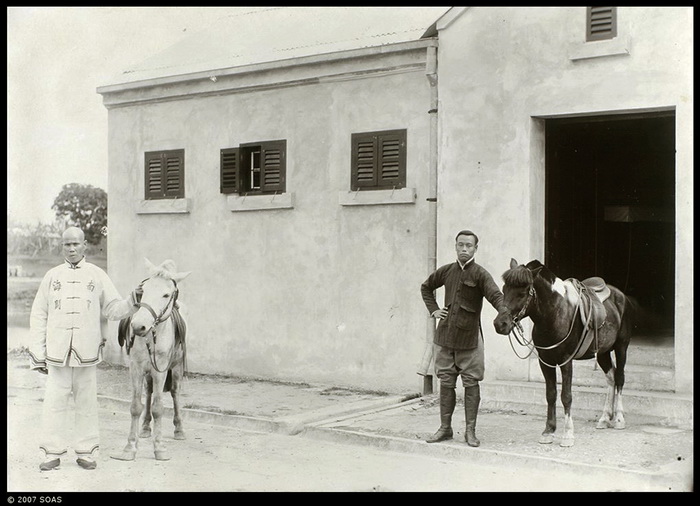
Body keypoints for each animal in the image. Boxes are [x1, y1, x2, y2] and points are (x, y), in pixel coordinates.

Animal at [111, 258, 190, 460]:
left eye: (166, 294)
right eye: (142, 291)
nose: (138, 326)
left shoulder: (160, 370)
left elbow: (158, 408)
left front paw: (159, 447)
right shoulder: (136, 368)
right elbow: (136, 406)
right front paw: (130, 446)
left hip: (176, 368)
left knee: (175, 393)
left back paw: (179, 429)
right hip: (147, 374)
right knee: (148, 393)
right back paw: (146, 427)